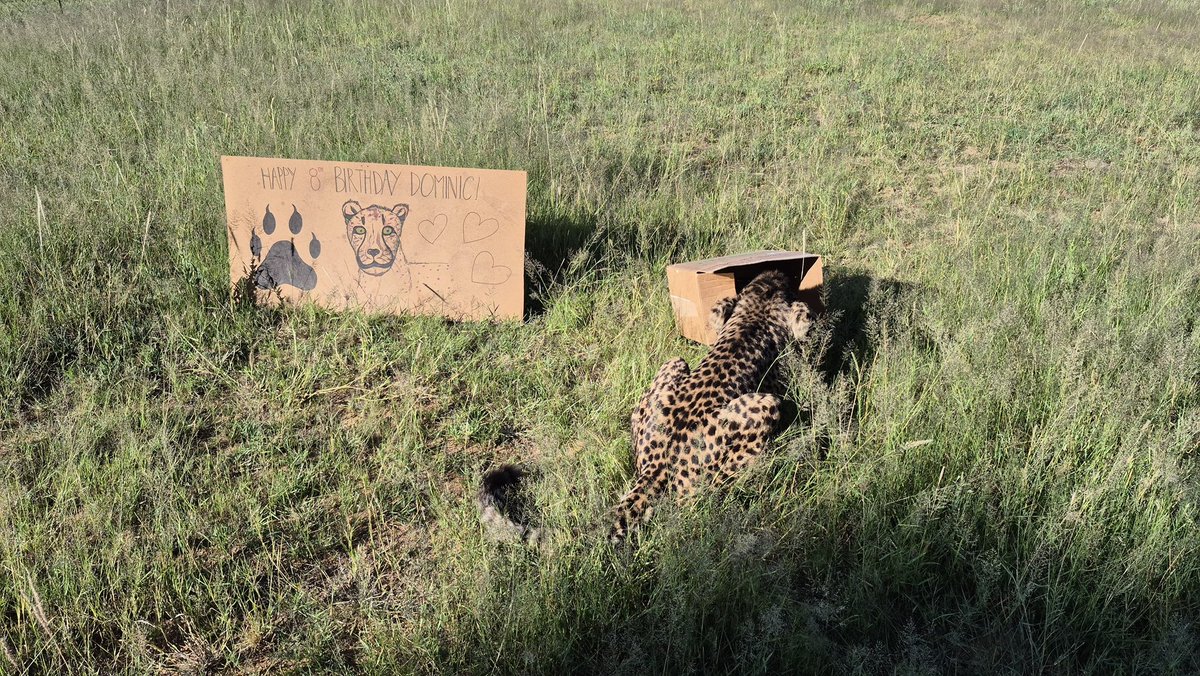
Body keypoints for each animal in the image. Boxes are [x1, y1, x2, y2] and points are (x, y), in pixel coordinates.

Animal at [478, 268, 814, 546]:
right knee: (705, 492)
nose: (781, 272)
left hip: (672, 365)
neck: (758, 307)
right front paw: (804, 313)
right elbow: (803, 331)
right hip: (764, 407)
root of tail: (655, 467)